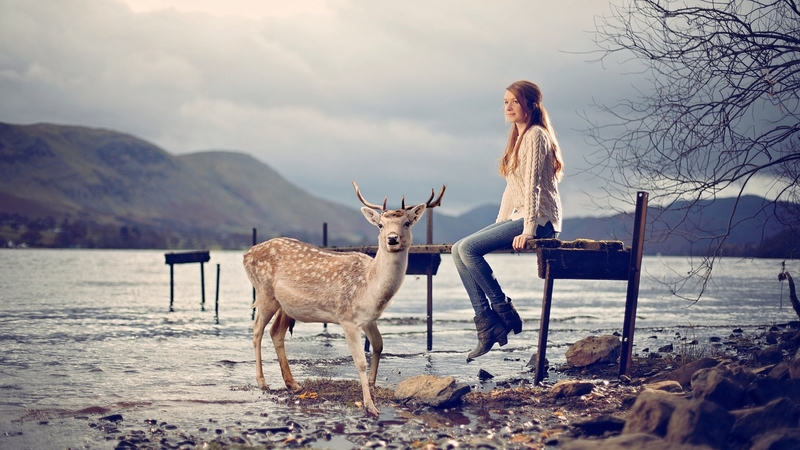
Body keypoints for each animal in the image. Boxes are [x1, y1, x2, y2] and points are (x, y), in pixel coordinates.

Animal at [243, 181, 445, 416]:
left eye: (407, 223)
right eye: (380, 225)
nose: (392, 239)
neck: (370, 289)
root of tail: (246, 255)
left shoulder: (368, 319)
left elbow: (378, 345)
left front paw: (373, 386)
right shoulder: (346, 318)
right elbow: (360, 361)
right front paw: (370, 406)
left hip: (285, 305)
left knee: (276, 332)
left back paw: (293, 383)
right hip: (264, 292)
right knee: (257, 330)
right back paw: (262, 382)